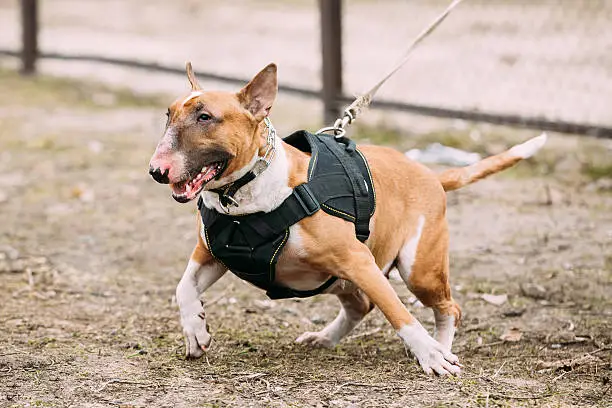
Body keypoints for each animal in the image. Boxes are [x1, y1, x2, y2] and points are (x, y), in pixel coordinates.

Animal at [149, 61, 548, 376]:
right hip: (342, 279)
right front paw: (196, 332)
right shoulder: (211, 253)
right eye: (168, 115)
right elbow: (183, 288)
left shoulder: (358, 261)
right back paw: (324, 338)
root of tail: (432, 175)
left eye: (205, 117)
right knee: (361, 306)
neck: (248, 193)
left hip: (417, 268)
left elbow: (398, 312)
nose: (156, 171)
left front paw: (430, 356)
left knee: (448, 307)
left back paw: (442, 348)